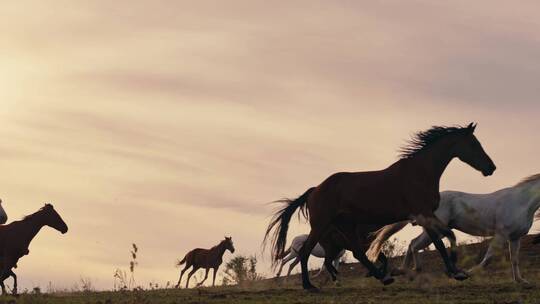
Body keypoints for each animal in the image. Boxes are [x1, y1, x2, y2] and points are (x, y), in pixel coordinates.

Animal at [264, 123, 496, 292]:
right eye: (474, 144)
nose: (491, 168)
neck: (419, 173)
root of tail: (314, 190)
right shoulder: (423, 214)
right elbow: (440, 241)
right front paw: (455, 271)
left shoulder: (426, 216)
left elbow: (448, 235)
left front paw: (457, 271)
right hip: (321, 225)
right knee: (305, 252)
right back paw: (309, 286)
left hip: (346, 227)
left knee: (357, 253)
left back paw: (381, 277)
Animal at [370, 175, 540, 284]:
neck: (521, 202)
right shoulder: (501, 235)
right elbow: (488, 257)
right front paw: (468, 273)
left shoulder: (515, 237)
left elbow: (514, 259)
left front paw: (520, 280)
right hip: (435, 229)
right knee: (415, 244)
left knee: (414, 244)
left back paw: (407, 271)